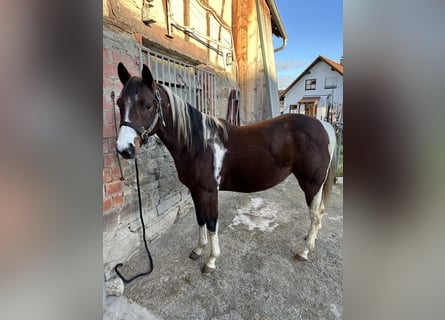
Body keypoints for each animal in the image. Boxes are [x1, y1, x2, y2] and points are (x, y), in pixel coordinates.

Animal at [114, 63, 336, 276]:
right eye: (119, 103)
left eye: (148, 104)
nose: (124, 149)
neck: (199, 144)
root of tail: (324, 126)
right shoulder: (194, 190)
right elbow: (200, 219)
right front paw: (198, 249)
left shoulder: (210, 192)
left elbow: (212, 223)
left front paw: (211, 261)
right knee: (319, 213)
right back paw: (309, 240)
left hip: (311, 184)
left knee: (315, 215)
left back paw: (304, 251)